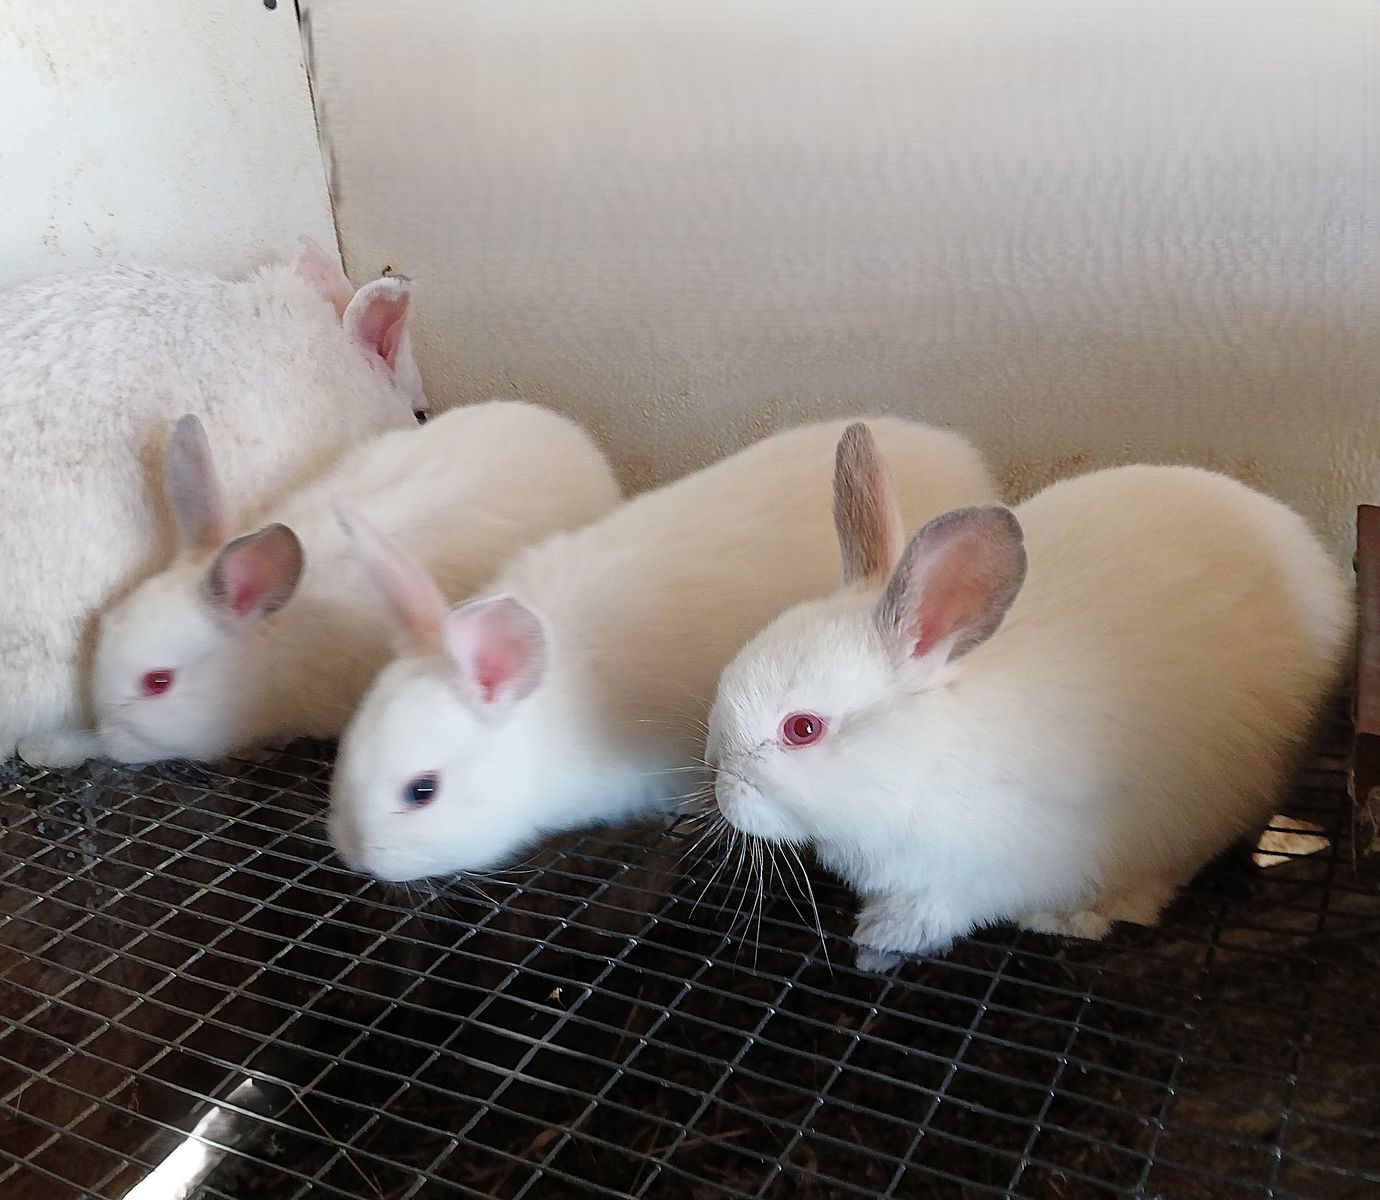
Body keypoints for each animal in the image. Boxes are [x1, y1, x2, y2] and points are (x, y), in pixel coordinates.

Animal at [706, 423, 1352, 971]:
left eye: (802, 729)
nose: (721, 789)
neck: (927, 756)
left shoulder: (980, 873)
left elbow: (941, 911)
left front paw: (883, 940)